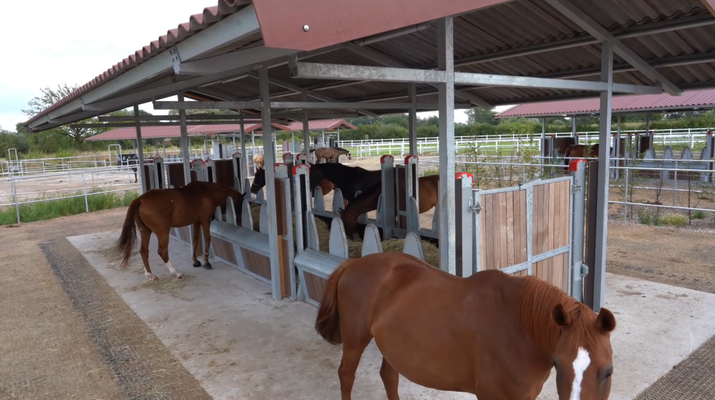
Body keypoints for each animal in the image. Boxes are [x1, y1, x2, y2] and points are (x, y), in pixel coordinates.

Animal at [115, 181, 246, 280]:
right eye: (240, 203)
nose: (240, 219)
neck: (208, 192)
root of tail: (140, 199)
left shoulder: (196, 222)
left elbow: (195, 240)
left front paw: (195, 261)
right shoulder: (205, 221)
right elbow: (207, 239)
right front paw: (206, 262)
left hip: (145, 231)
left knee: (144, 251)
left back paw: (150, 274)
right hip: (162, 232)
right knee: (162, 252)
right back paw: (176, 272)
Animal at [315, 252, 616, 400]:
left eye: (608, 372)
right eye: (559, 365)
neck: (518, 332)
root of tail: (354, 263)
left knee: (389, 376)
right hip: (355, 339)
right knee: (346, 375)